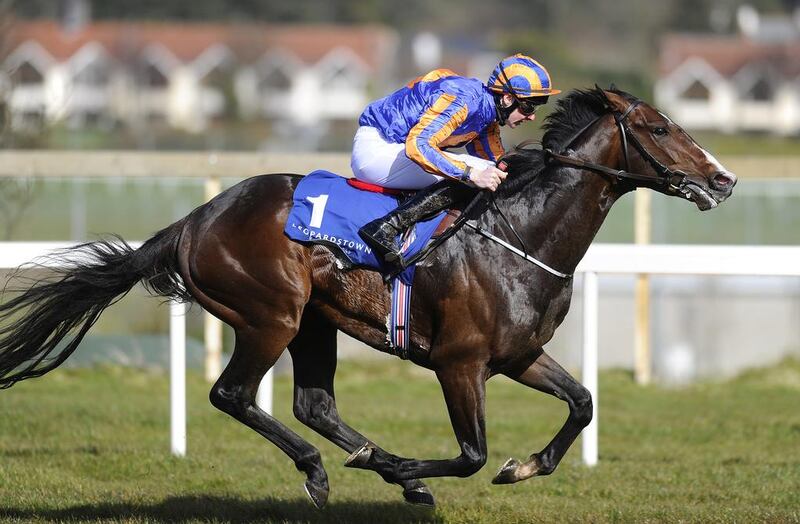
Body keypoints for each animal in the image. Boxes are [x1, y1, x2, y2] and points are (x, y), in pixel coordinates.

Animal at [1, 88, 736, 510]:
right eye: (659, 128)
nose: (723, 179)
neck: (519, 233)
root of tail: (192, 221)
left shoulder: (519, 356)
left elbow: (581, 404)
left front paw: (522, 466)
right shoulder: (459, 363)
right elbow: (470, 453)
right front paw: (419, 464)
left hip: (313, 323)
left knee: (315, 405)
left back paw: (378, 466)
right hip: (271, 315)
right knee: (233, 395)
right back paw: (331, 471)